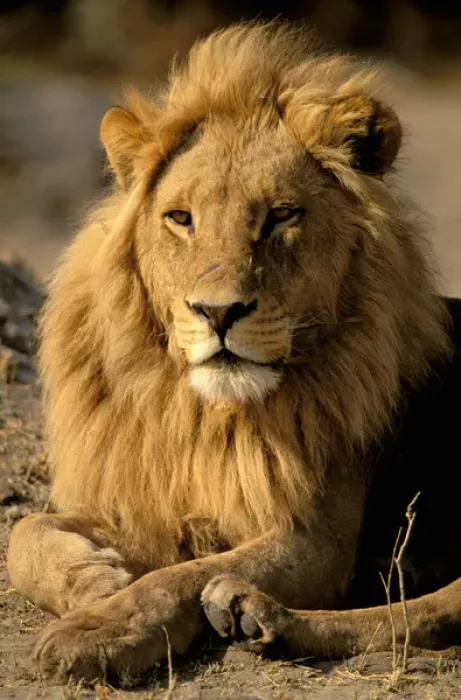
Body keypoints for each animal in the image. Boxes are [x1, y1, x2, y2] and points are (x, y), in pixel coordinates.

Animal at [7, 22, 461, 681]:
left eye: (281, 215)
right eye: (180, 218)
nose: (218, 313)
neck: (207, 416)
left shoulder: (315, 541)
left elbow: (178, 576)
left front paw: (101, 628)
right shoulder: (149, 504)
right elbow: (25, 531)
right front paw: (95, 583)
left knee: (423, 610)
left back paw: (255, 612)